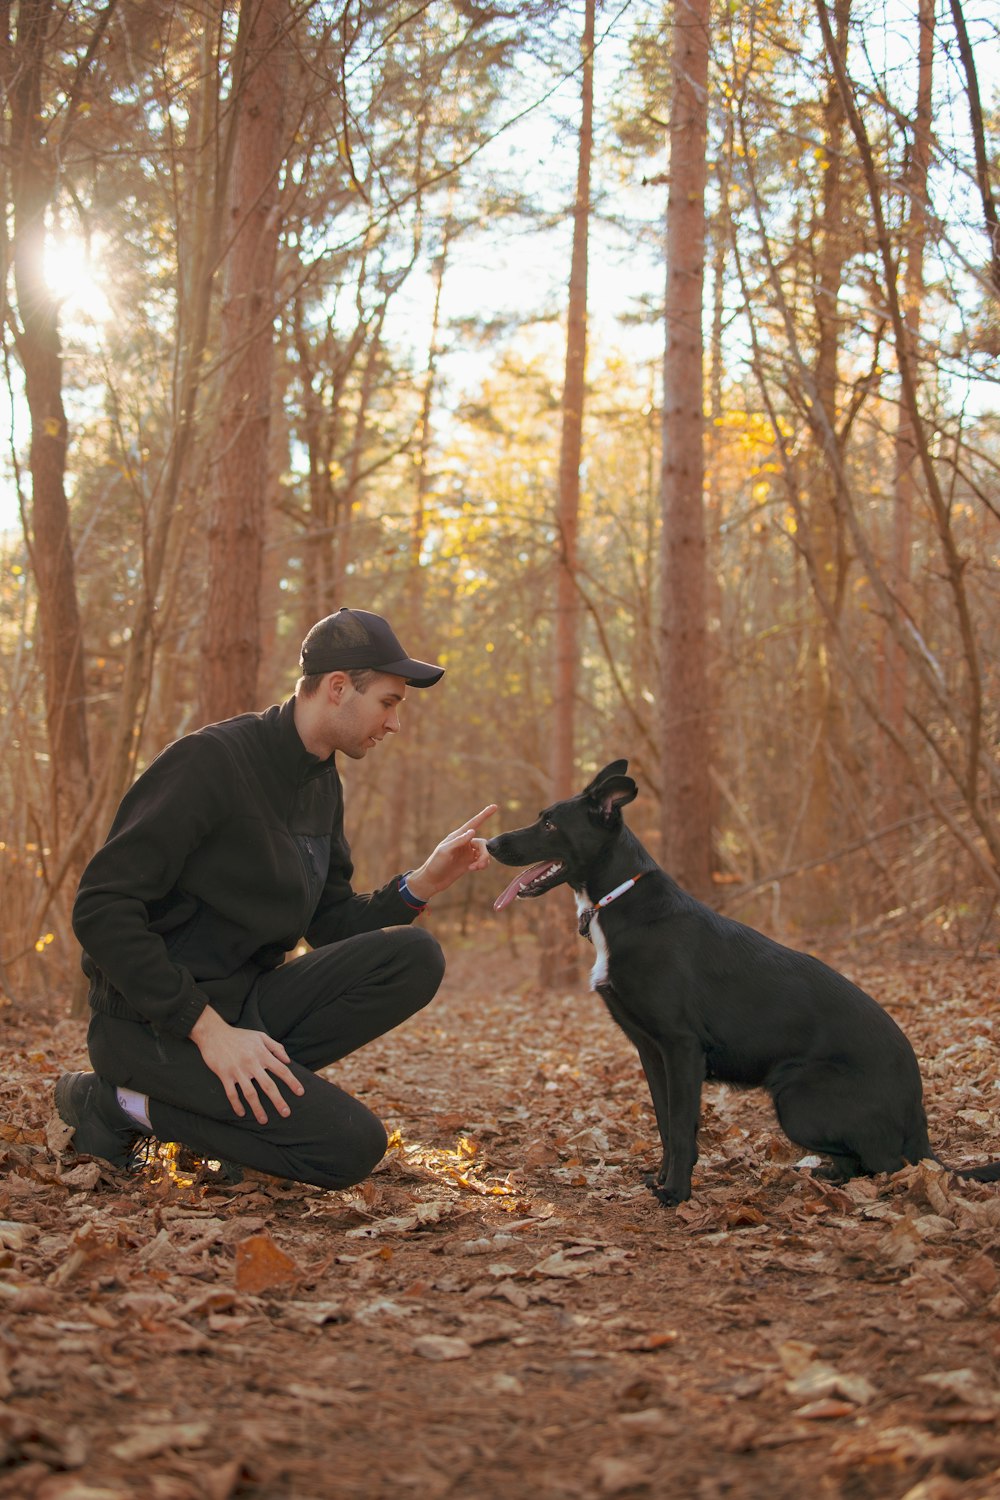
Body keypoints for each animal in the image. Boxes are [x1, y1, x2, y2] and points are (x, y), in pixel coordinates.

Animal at [488, 762, 1000, 1206]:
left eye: (549, 824)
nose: (490, 843)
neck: (619, 898)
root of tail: (920, 1122)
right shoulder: (651, 1051)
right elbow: (664, 1123)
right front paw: (661, 1179)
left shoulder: (681, 1048)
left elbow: (681, 1127)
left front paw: (676, 1193)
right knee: (863, 1162)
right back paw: (822, 1174)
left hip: (796, 1097)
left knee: (886, 1163)